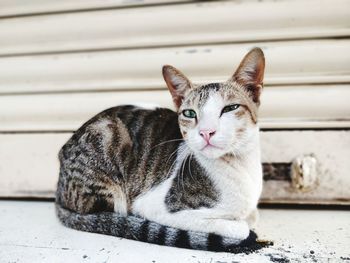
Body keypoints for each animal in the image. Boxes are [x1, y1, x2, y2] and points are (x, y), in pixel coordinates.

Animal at [56, 47, 266, 254]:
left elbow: (253, 217)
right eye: (189, 113)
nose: (206, 132)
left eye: (230, 108)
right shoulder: (154, 206)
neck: (240, 166)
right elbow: (240, 227)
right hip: (108, 139)